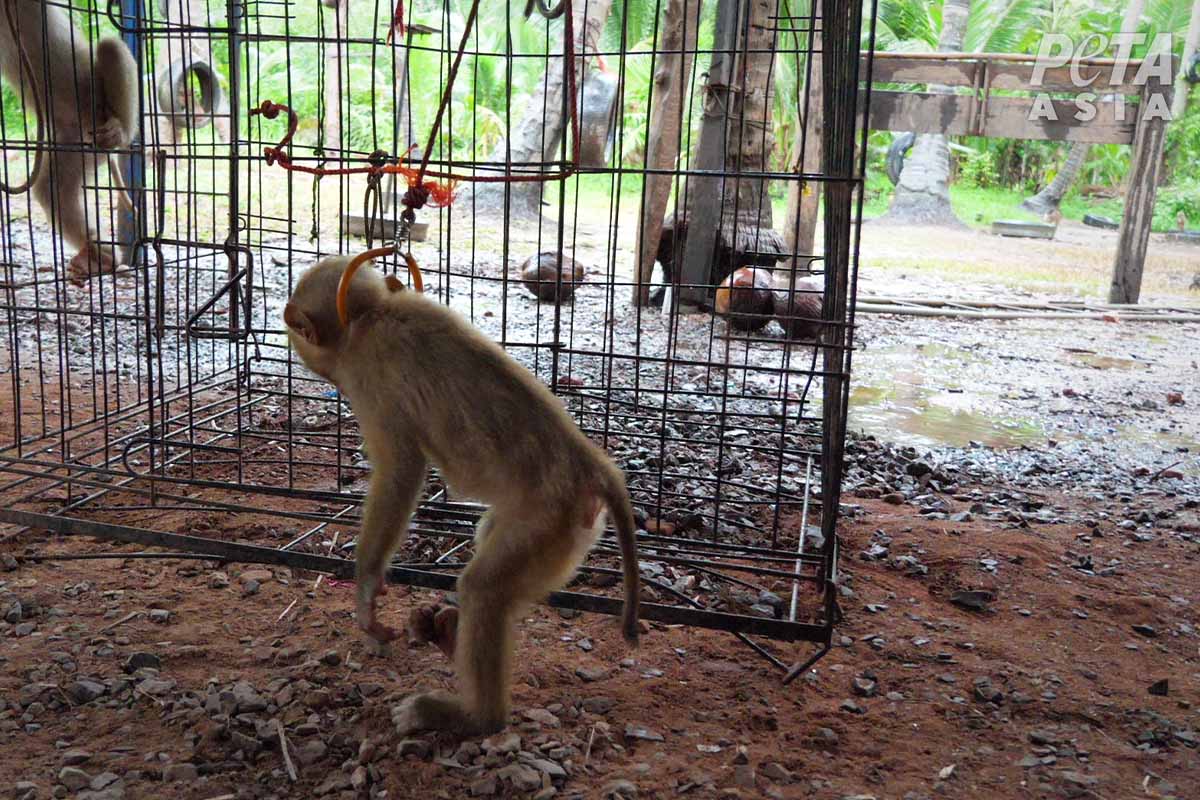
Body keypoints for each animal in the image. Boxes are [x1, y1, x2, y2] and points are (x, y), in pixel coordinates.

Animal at [282, 257, 643, 738]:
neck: (372, 314)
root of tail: (593, 467)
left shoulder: (368, 375)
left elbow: (401, 471)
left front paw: (366, 586)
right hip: (566, 531)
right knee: (493, 543)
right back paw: (451, 640)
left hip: (551, 520)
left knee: (484, 590)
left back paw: (474, 717)